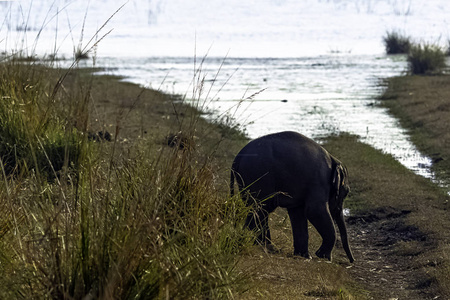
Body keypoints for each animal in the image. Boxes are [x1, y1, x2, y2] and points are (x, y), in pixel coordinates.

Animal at [232, 131, 356, 262]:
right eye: (346, 192)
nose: (352, 261)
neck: (333, 160)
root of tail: (238, 157)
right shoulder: (319, 181)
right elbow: (314, 211)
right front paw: (324, 257)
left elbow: (298, 213)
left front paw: (305, 256)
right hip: (257, 176)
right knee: (260, 208)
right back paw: (262, 245)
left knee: (258, 209)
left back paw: (260, 244)